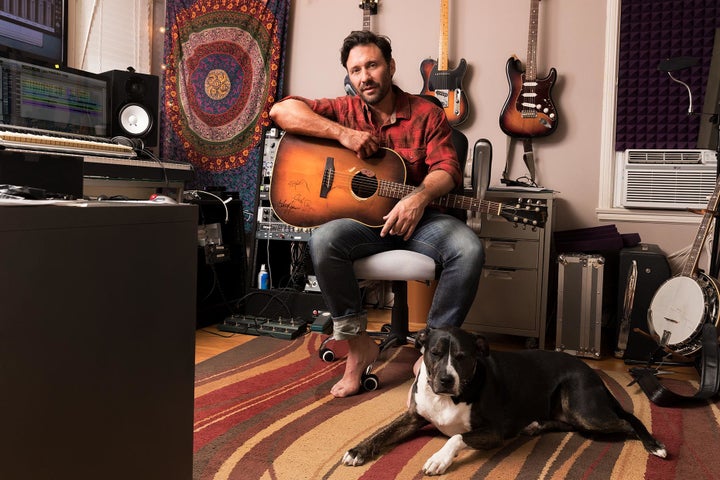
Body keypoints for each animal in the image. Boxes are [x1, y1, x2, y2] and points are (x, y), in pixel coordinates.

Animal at [340, 326, 668, 476]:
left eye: (463, 357)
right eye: (434, 353)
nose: (445, 380)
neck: (450, 396)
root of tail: (593, 373)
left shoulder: (493, 431)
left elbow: (457, 436)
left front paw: (438, 459)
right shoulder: (414, 417)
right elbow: (383, 432)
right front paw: (358, 450)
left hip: (584, 409)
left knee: (627, 422)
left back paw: (655, 445)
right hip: (572, 411)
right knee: (568, 425)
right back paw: (535, 426)